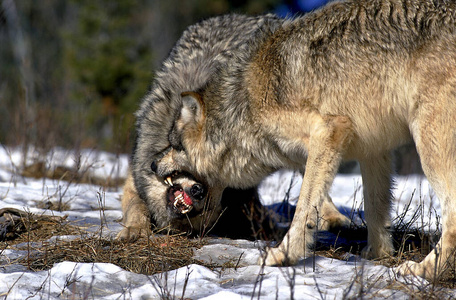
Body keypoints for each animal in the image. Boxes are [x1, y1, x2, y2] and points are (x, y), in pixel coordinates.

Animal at [116, 14, 350, 241]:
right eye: (194, 176)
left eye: (204, 206)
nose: (199, 191)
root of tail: (243, 16)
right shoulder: (134, 176)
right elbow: (136, 207)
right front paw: (133, 230)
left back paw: (335, 218)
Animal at [152, 0, 456, 282]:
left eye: (175, 145)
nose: (154, 164)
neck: (244, 104)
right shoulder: (374, 150)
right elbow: (375, 210)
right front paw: (376, 256)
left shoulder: (329, 130)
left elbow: (305, 209)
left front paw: (283, 255)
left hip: (429, 144)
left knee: (451, 213)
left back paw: (424, 270)